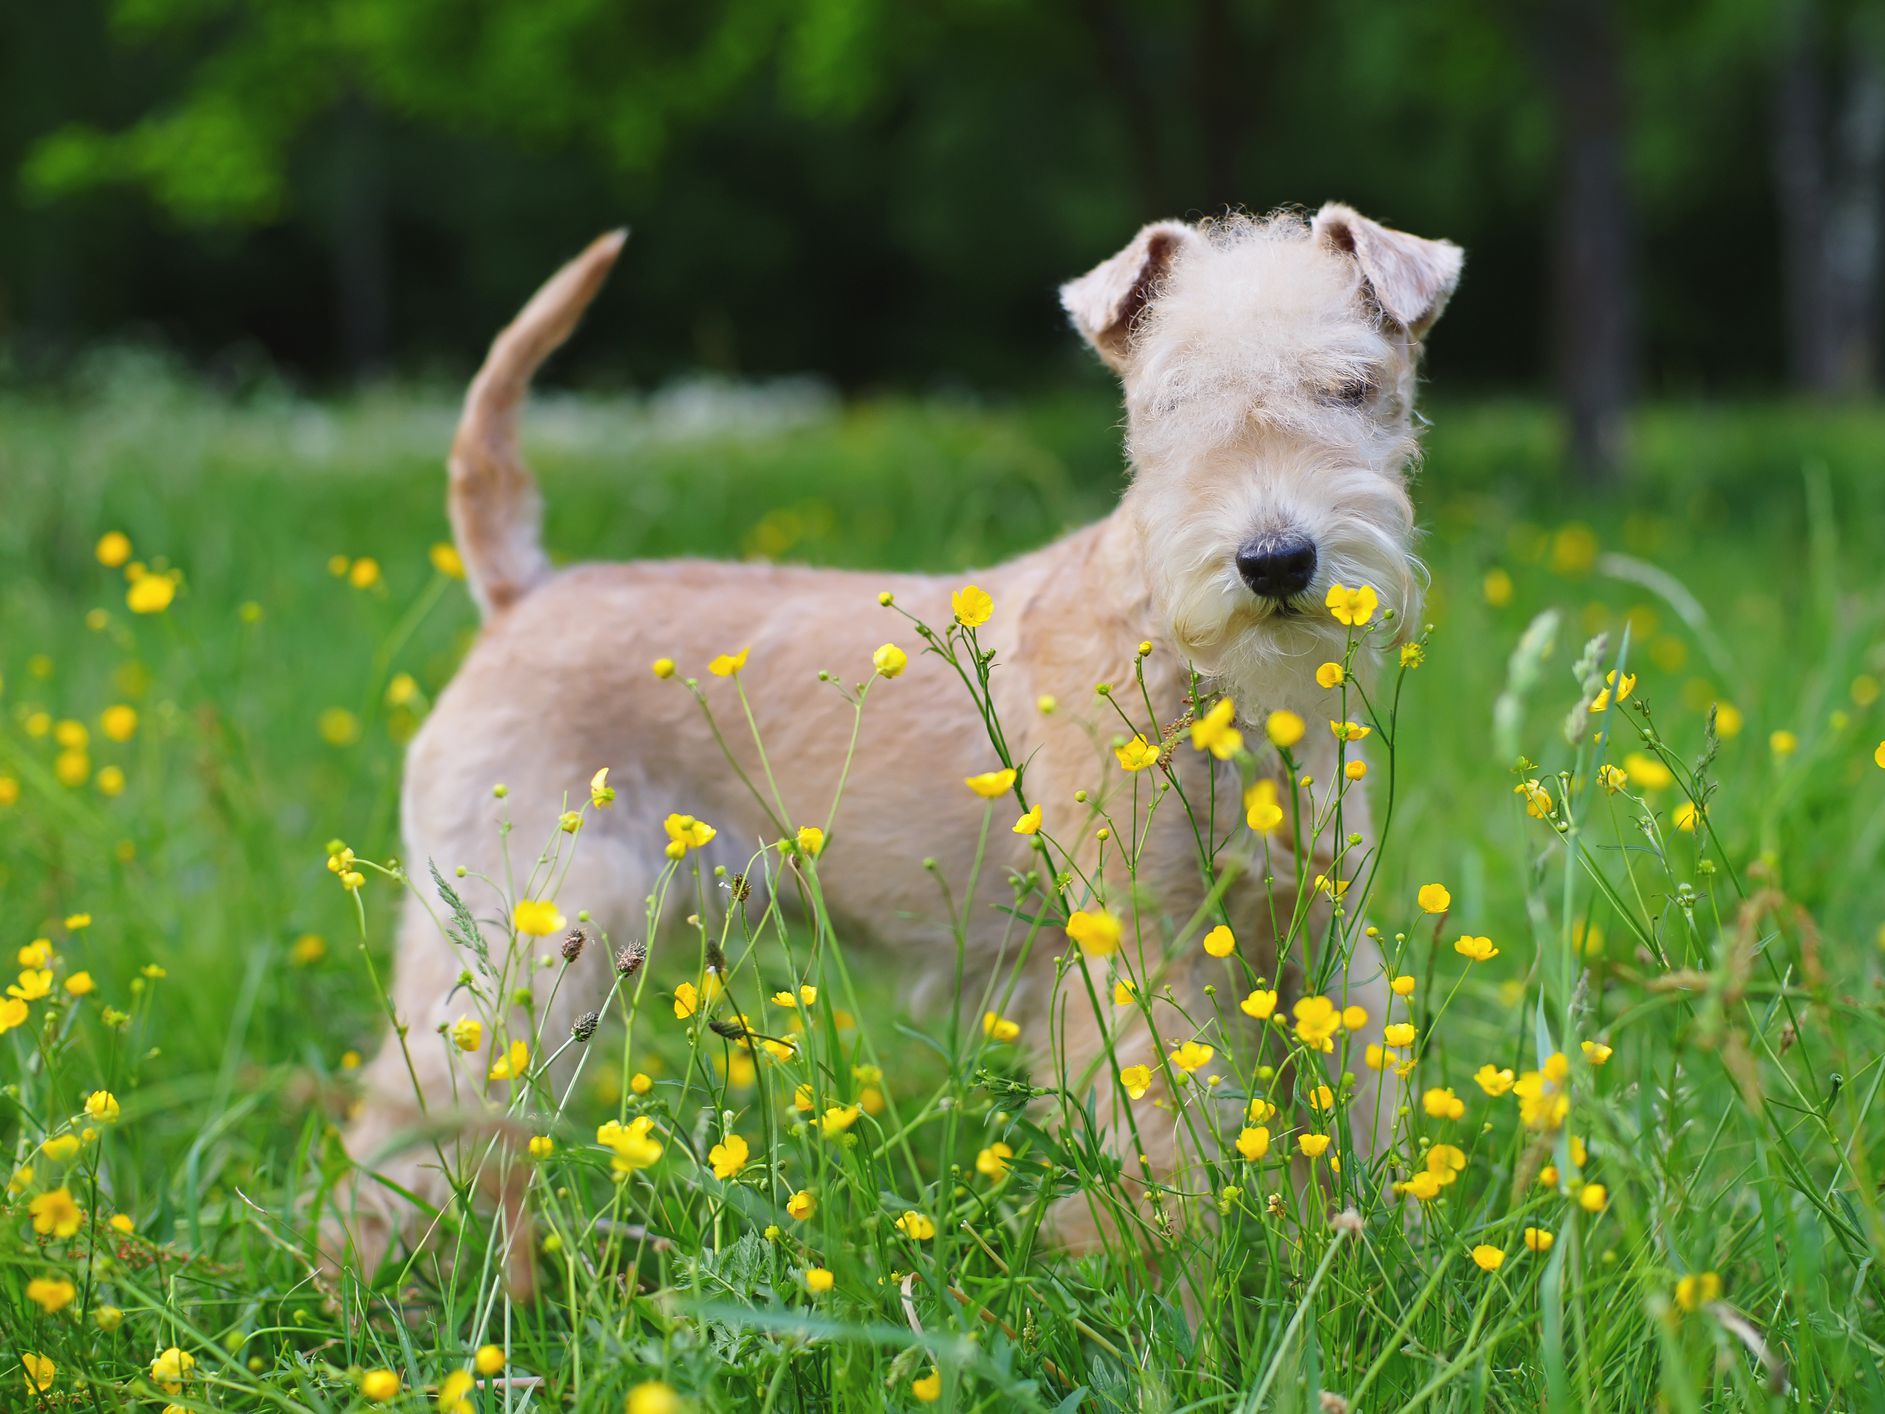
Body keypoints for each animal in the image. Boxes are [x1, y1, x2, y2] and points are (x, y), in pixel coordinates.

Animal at [335, 204, 1455, 1282]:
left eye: (1352, 385)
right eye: (1171, 404)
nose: (1274, 561)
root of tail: (519, 593)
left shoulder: (1318, 930)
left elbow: (1353, 1109)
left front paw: (1374, 1255)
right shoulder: (1139, 947)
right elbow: (1169, 1146)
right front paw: (1184, 1287)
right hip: (522, 934)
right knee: (406, 1126)